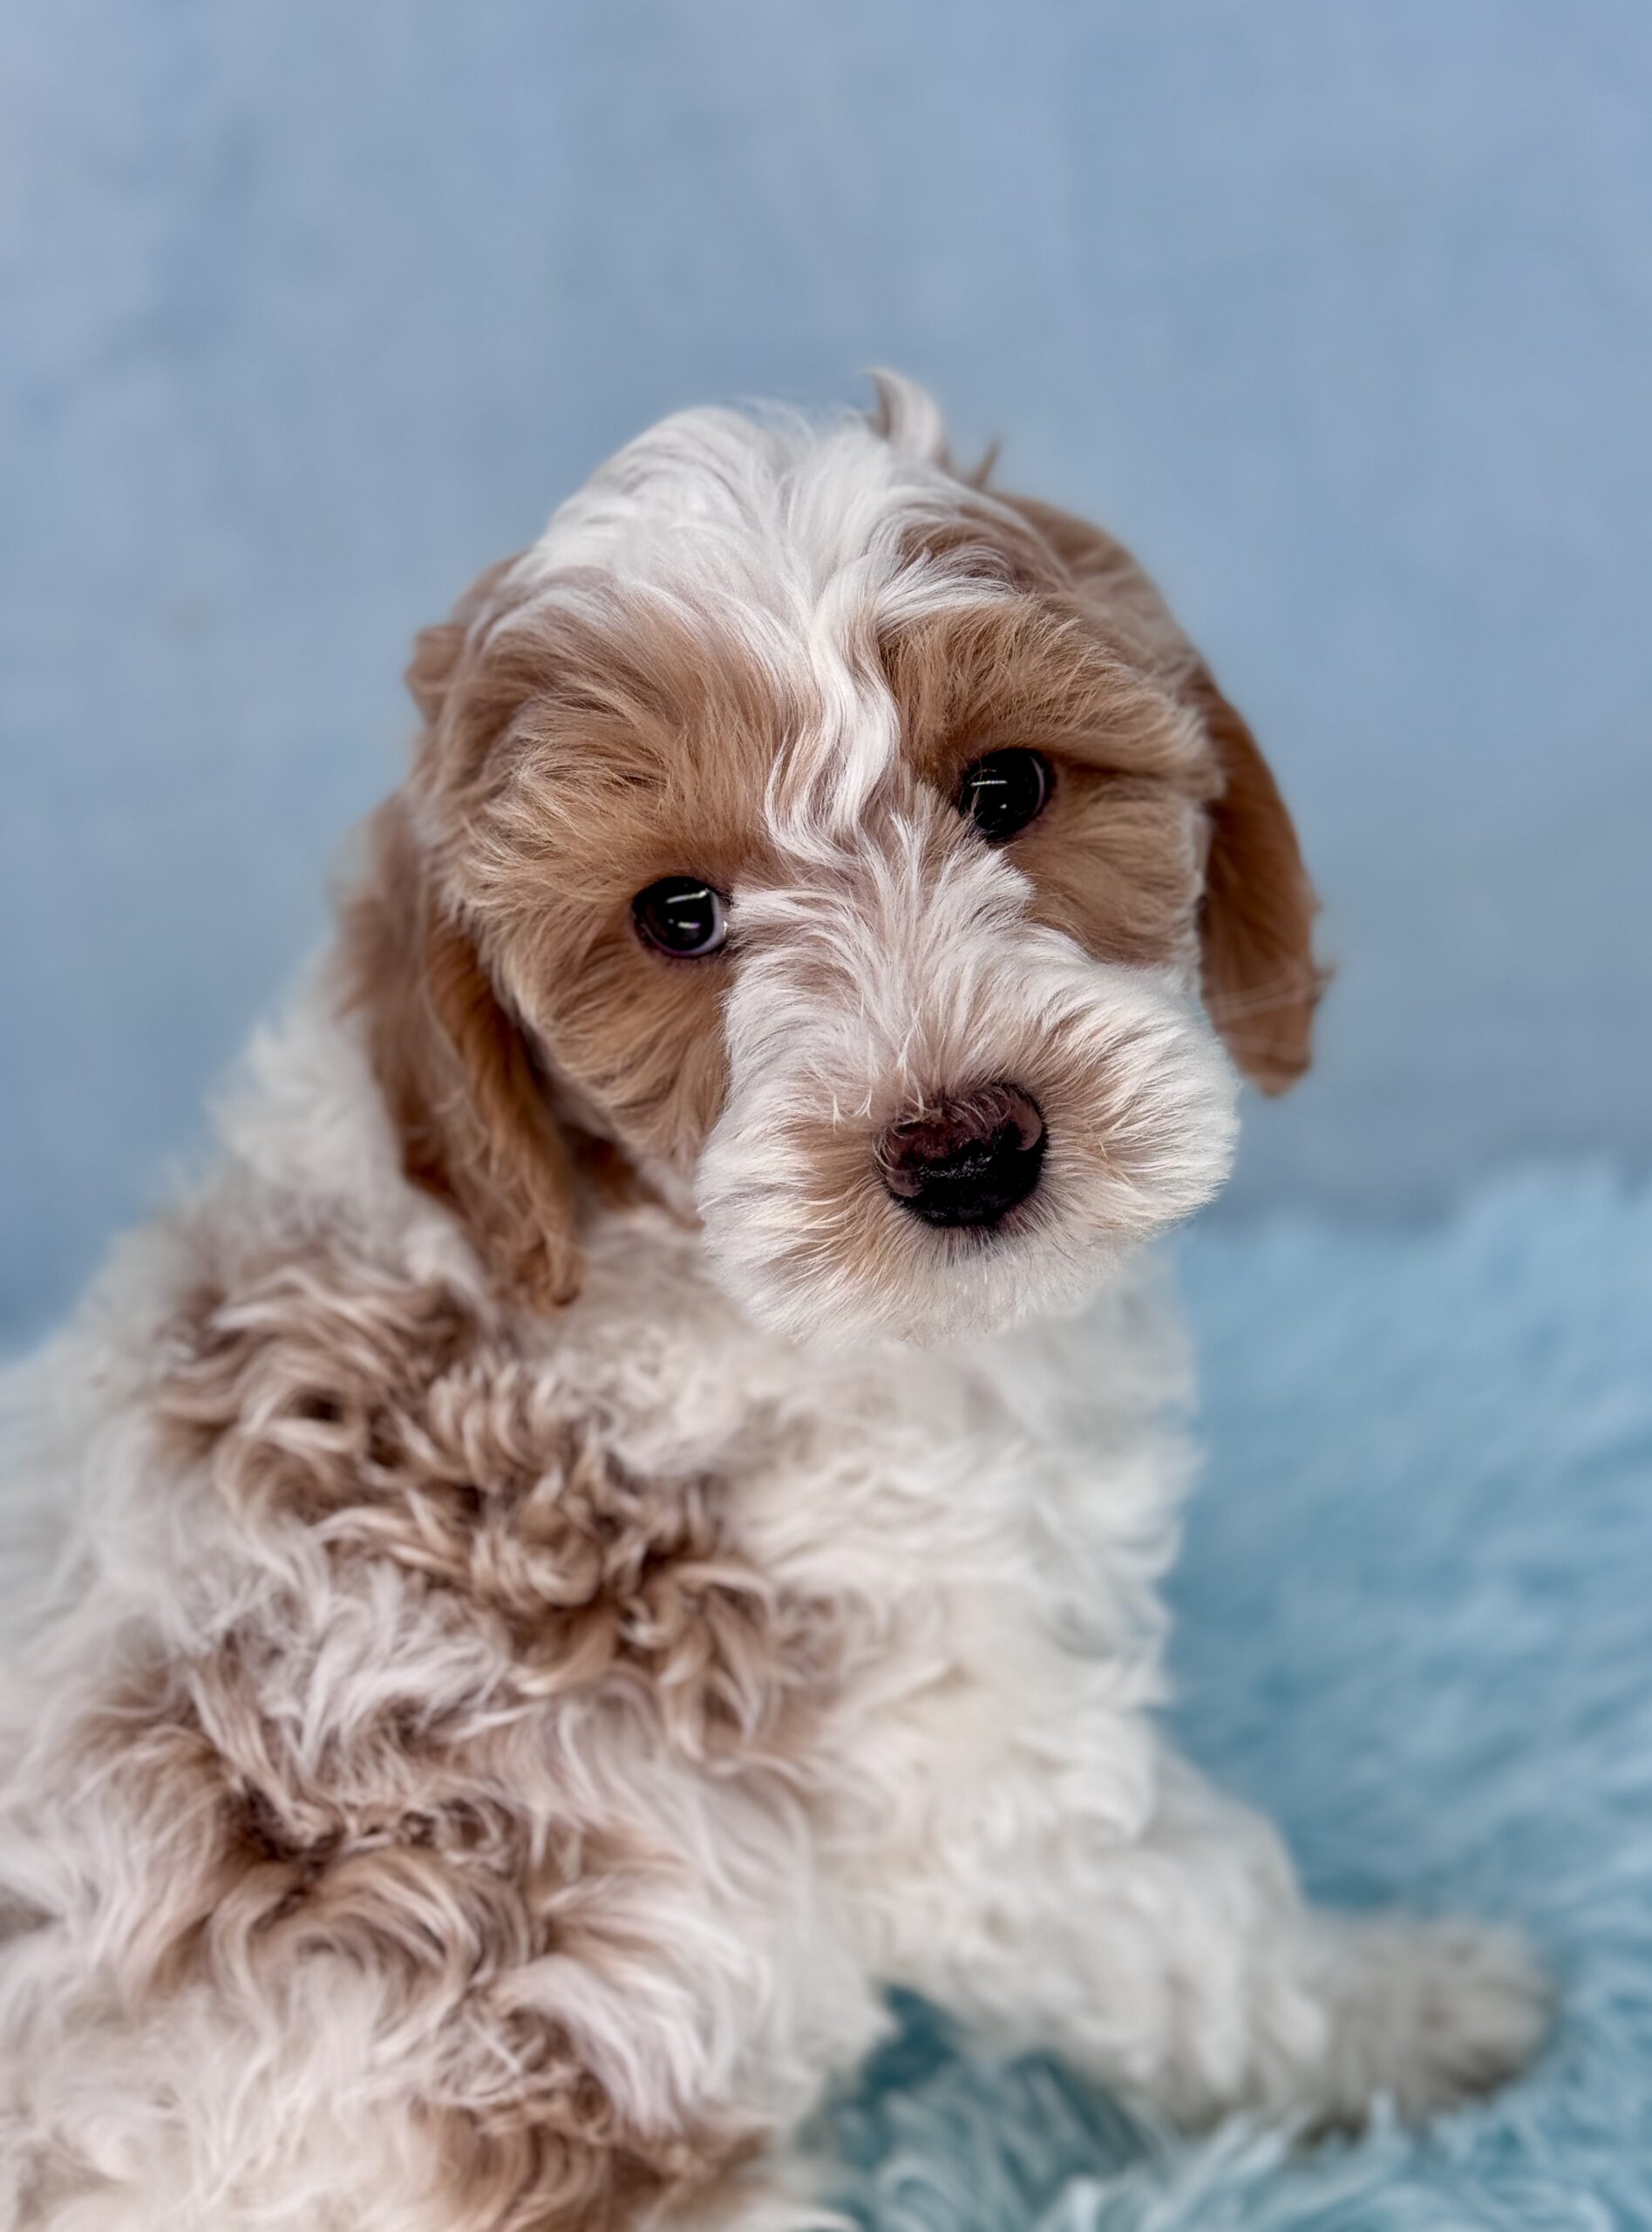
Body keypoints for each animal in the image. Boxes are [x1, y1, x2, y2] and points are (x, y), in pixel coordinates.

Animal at [0, 378, 1546, 2231]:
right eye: (680, 915)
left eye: (1008, 787)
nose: (969, 1151)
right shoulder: (963, 1756)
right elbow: (1205, 1935)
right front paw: (1416, 2006)